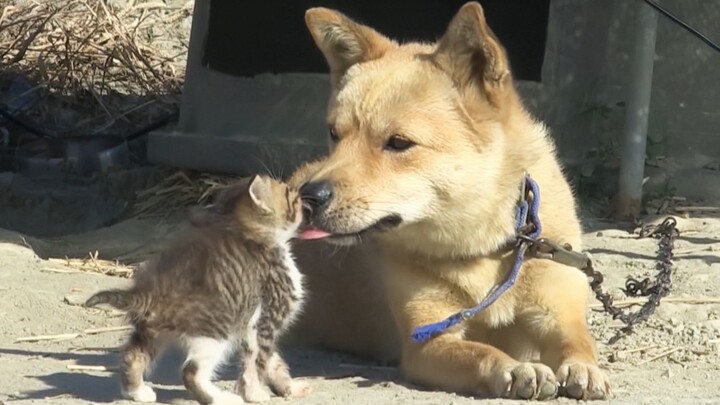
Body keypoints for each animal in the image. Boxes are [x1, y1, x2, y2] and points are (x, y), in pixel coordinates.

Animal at [84, 174, 310, 404]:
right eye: (290, 194)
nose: (303, 195)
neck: (255, 237)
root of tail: (149, 292)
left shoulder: (252, 326)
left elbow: (269, 358)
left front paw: (288, 387)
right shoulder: (266, 319)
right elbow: (258, 361)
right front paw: (254, 394)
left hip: (152, 333)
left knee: (133, 356)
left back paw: (137, 392)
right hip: (215, 332)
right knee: (191, 372)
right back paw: (220, 398)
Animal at [284, 2, 612, 400]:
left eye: (398, 142)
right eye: (334, 134)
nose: (308, 197)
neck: (485, 248)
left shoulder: (557, 310)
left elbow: (578, 340)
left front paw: (583, 368)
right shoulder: (428, 341)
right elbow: (481, 352)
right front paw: (515, 368)